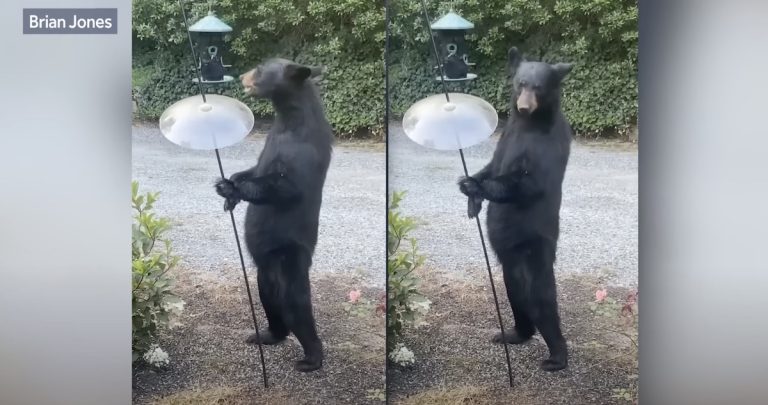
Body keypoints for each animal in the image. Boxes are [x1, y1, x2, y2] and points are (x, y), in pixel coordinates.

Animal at [215, 58, 332, 372]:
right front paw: (230, 191)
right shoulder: (269, 142)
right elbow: (255, 167)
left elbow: (285, 186)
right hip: (265, 273)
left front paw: (230, 186)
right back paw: (266, 334)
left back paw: (311, 359)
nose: (242, 76)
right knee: (269, 301)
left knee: (296, 306)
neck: (288, 119)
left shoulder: (302, 153)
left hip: (289, 256)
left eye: (259, 69)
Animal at [458, 47, 574, 372]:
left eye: (539, 87)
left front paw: (477, 188)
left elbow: (528, 183)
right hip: (509, 263)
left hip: (533, 249)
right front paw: (470, 191)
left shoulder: (545, 145)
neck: (527, 124)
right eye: (521, 83)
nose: (523, 106)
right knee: (515, 294)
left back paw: (556, 357)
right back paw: (513, 333)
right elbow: (492, 164)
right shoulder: (506, 136)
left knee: (540, 298)